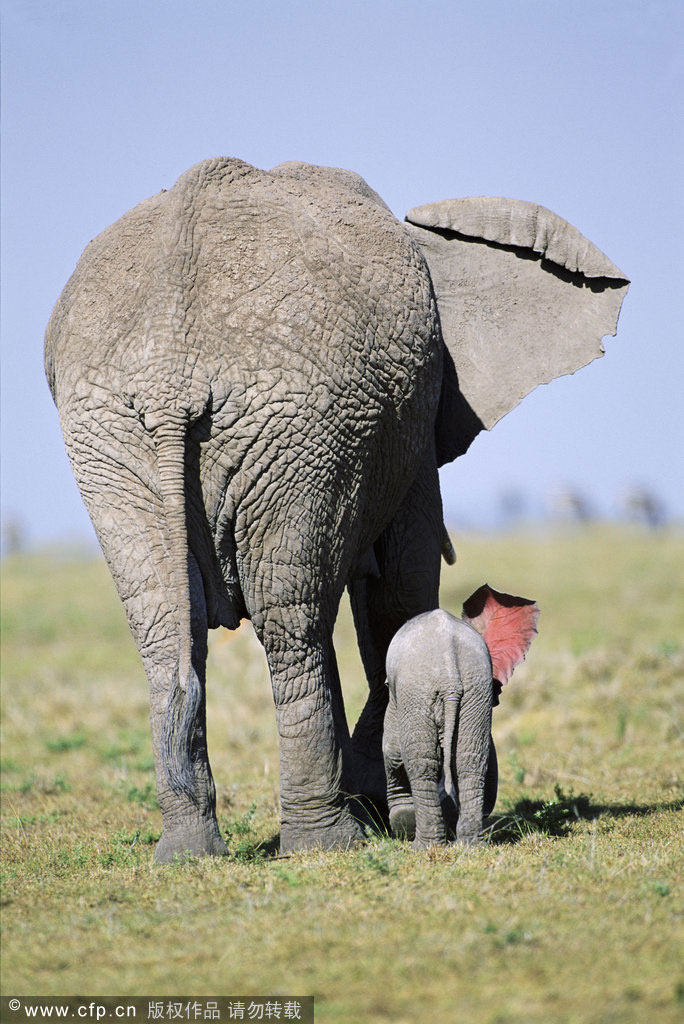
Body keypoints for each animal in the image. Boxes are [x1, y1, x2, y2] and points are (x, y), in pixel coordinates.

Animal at [382, 581, 536, 851]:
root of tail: (450, 677)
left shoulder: (399, 693)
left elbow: (392, 750)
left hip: (418, 689)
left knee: (421, 760)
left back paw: (424, 846)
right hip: (473, 690)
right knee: (470, 759)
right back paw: (470, 845)